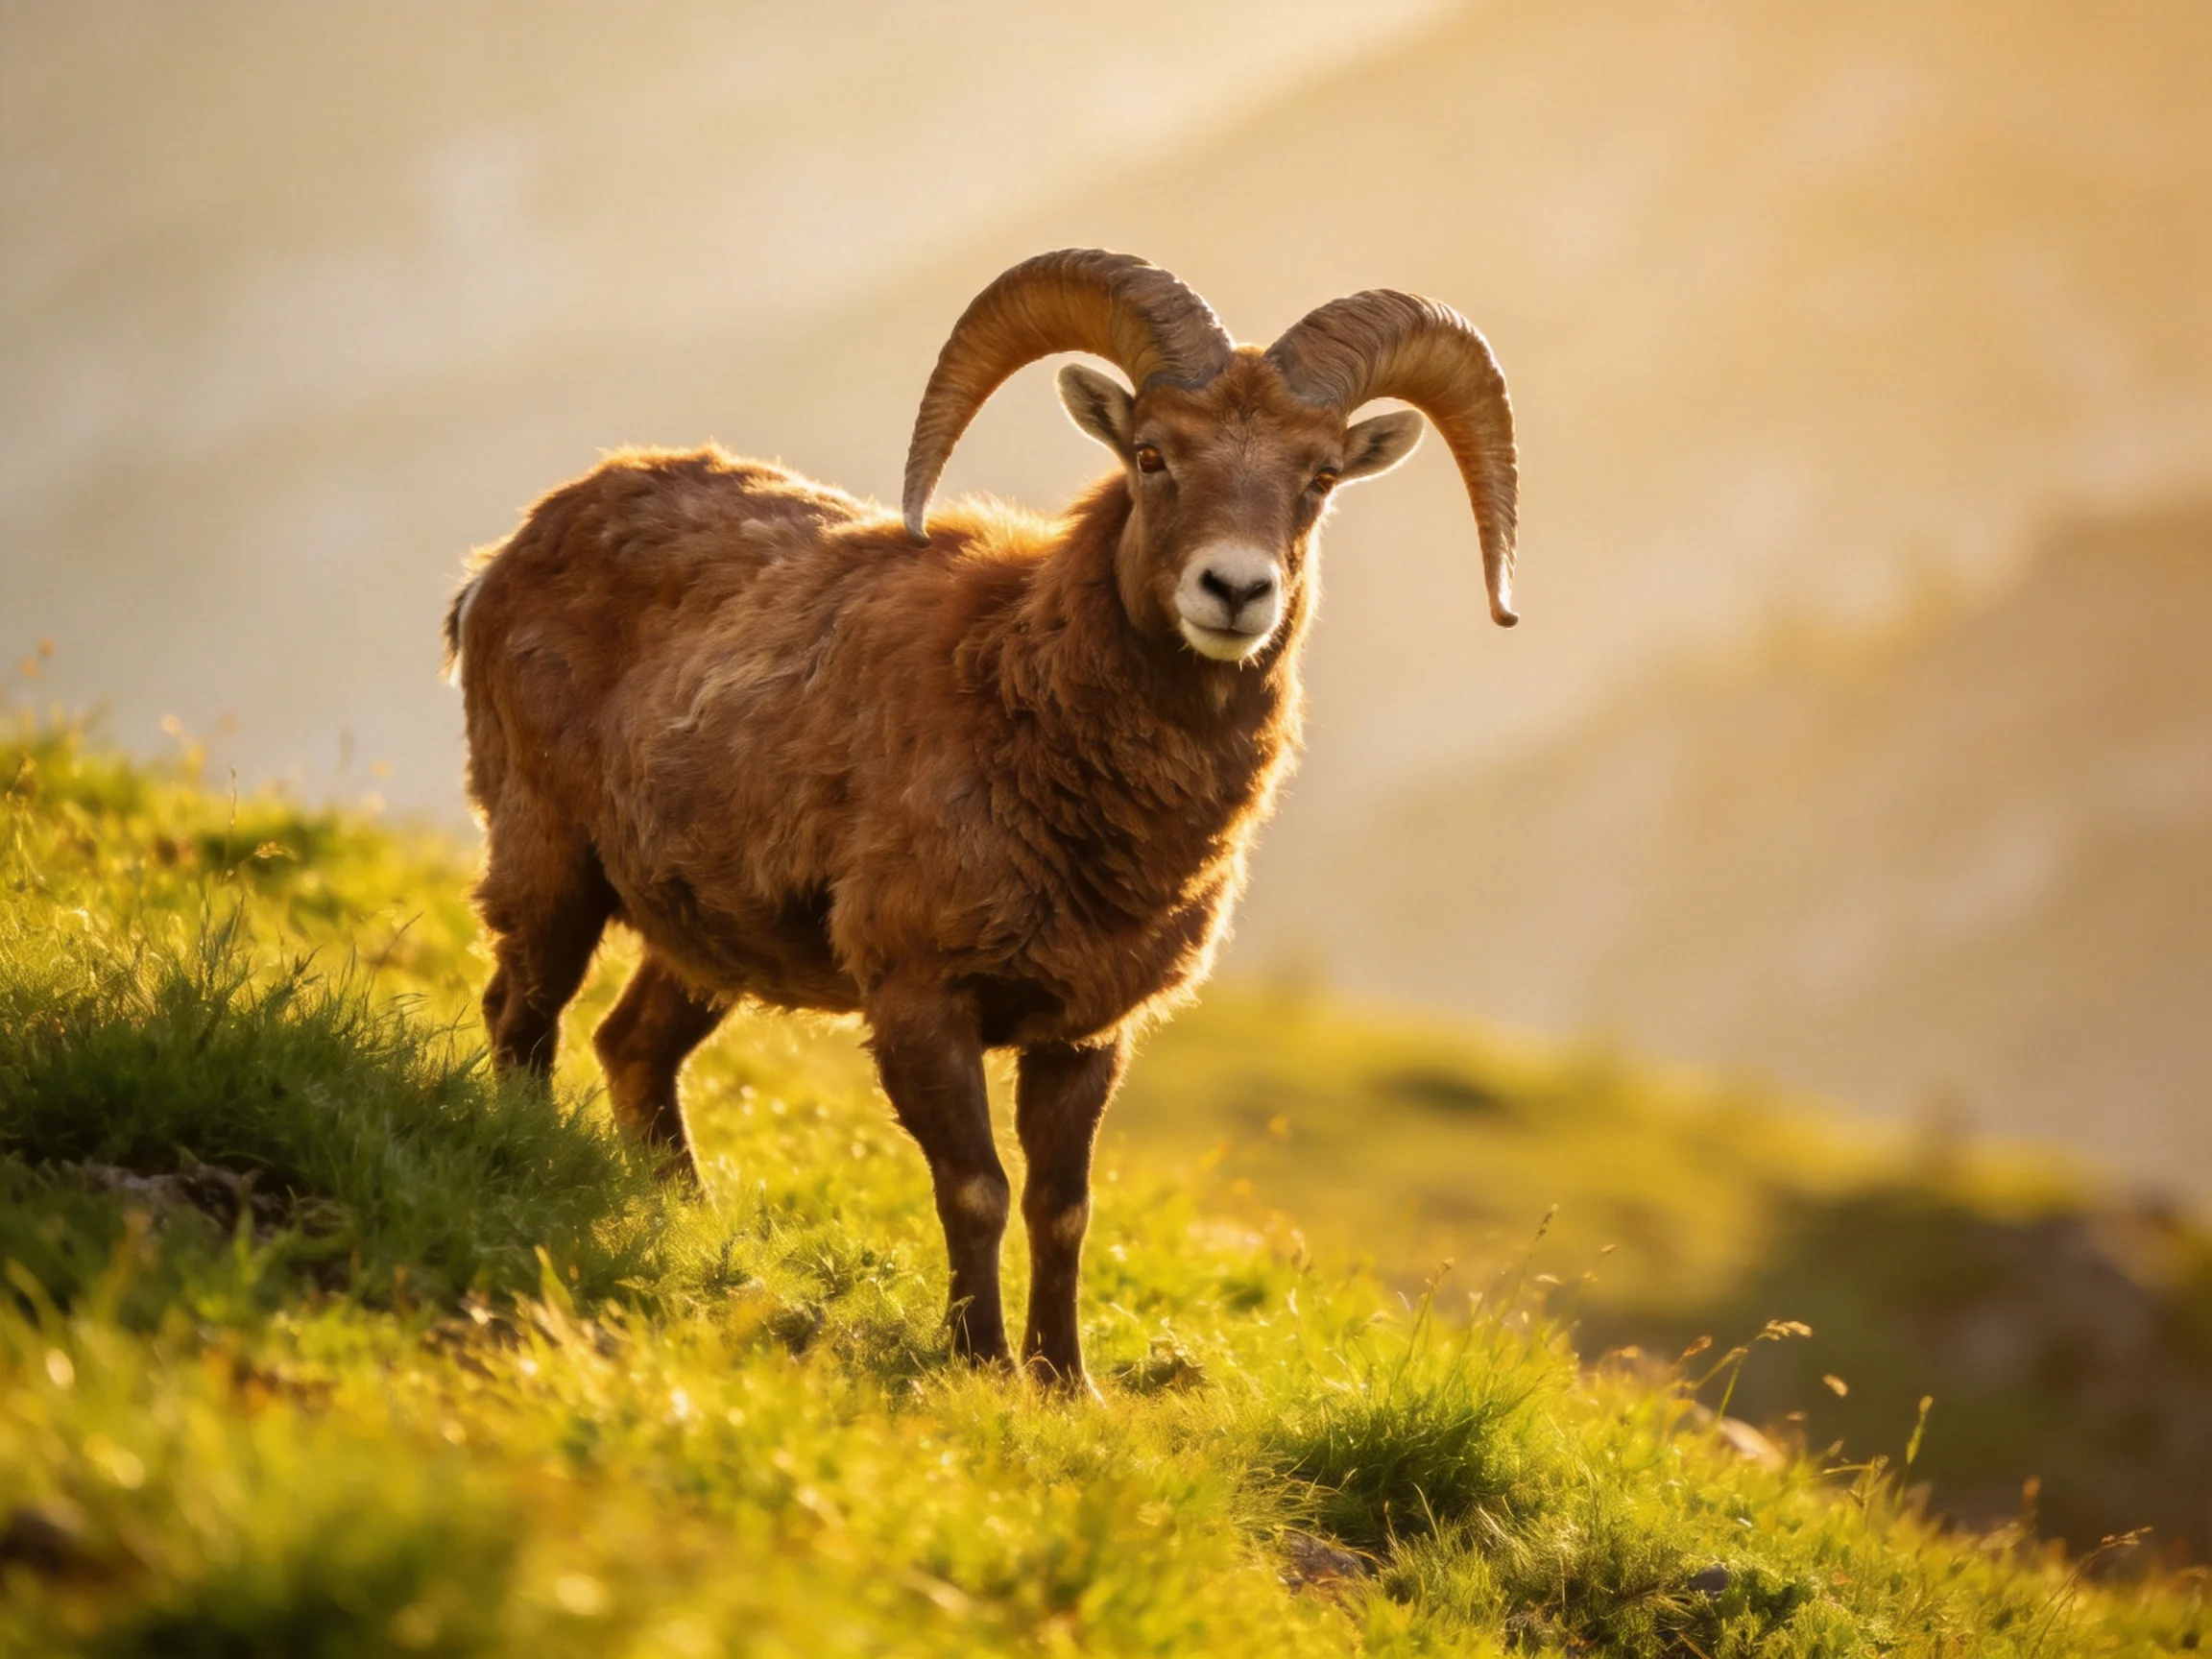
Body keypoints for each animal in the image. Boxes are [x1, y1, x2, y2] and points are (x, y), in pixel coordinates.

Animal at [445, 249, 1518, 1385]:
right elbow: (977, 1189)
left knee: (633, 1048)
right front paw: (978, 1360)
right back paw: (529, 1157)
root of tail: (506, 557)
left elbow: (1062, 1207)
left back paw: (686, 1219)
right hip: (550, 863)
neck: (1020, 707)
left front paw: (1065, 1382)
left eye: (1318, 477)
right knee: (523, 1014)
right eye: (1152, 453)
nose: (1234, 590)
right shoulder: (922, 1001)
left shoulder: (1087, 1037)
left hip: (702, 944)